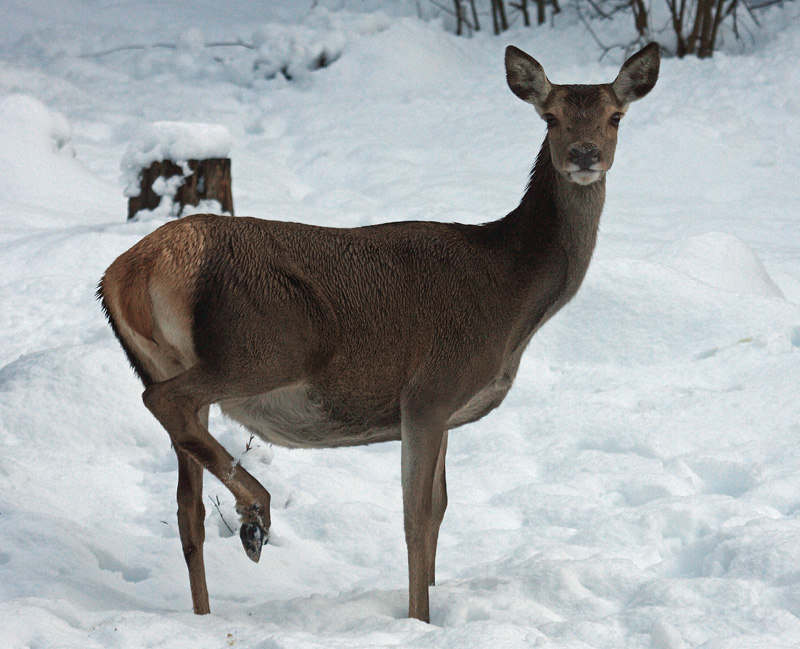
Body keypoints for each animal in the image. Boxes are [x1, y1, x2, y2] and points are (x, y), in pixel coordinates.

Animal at [98, 43, 664, 620]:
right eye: (549, 117)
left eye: (615, 116)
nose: (584, 154)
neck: (511, 299)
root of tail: (128, 272)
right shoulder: (430, 389)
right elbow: (416, 517)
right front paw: (420, 617)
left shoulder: (443, 411)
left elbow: (440, 508)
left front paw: (431, 604)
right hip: (271, 343)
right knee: (164, 402)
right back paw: (256, 513)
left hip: (174, 359)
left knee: (186, 504)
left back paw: (207, 609)